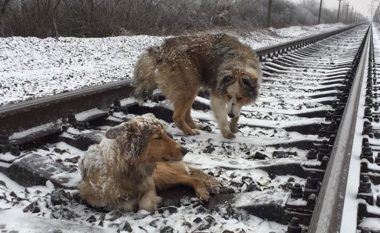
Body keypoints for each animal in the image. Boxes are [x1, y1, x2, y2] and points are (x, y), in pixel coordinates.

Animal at [78, 114, 220, 212]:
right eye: (158, 137)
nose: (186, 150)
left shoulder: (150, 185)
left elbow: (144, 205)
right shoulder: (94, 198)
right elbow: (121, 204)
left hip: (162, 175)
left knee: (192, 177)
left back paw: (204, 190)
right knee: (190, 176)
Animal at [133, 32, 262, 138]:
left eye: (240, 98)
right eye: (228, 96)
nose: (230, 114)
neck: (239, 63)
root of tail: (161, 51)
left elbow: (237, 111)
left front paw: (233, 125)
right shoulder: (217, 94)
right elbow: (222, 116)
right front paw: (227, 131)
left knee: (186, 114)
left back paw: (197, 126)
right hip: (189, 86)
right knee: (177, 116)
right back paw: (190, 131)